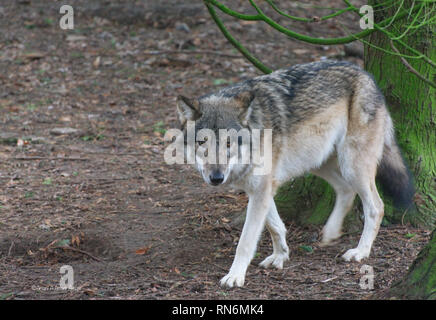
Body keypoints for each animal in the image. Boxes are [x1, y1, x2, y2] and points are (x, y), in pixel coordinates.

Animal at [175, 60, 414, 288]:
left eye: (228, 143)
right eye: (202, 142)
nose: (216, 178)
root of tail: (365, 74)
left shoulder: (261, 189)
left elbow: (246, 241)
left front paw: (235, 276)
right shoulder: (261, 188)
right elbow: (275, 226)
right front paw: (280, 255)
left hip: (351, 165)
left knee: (376, 207)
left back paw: (360, 251)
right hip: (319, 162)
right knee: (345, 191)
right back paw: (330, 232)